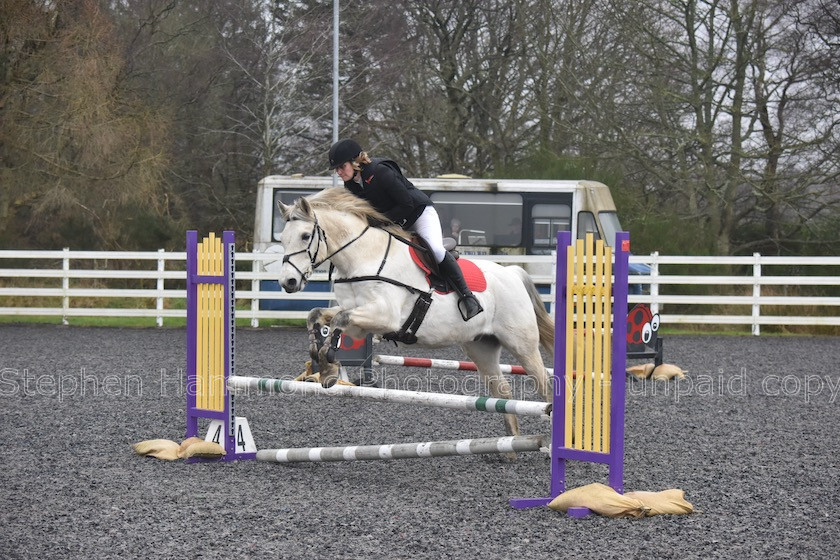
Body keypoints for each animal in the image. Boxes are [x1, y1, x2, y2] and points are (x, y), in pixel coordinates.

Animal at [276, 188, 552, 438]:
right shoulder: (358, 321)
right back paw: (511, 444)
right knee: (502, 391)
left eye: (305, 236)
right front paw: (320, 360)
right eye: (282, 239)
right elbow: (318, 315)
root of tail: (512, 273)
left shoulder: (384, 317)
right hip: (481, 348)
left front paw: (328, 360)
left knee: (546, 388)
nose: (288, 282)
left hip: (522, 345)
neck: (364, 258)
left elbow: (338, 321)